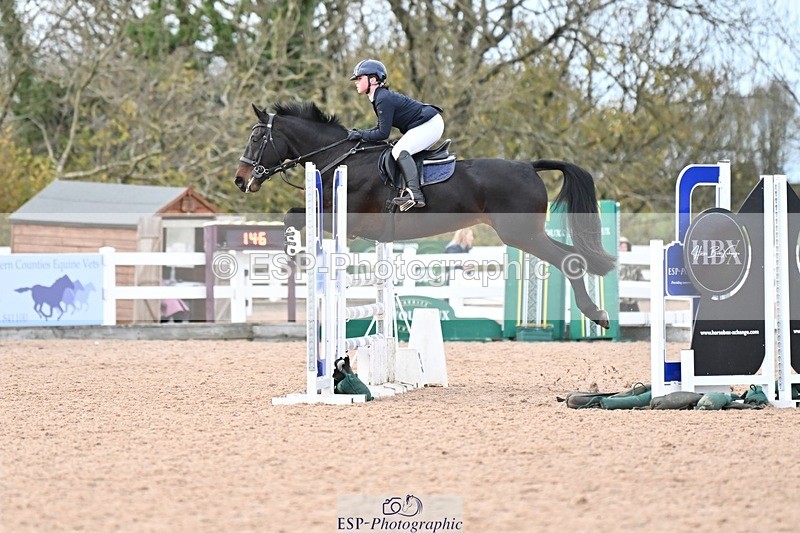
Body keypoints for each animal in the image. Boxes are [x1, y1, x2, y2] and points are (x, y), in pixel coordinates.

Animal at [233, 102, 615, 328]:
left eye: (256, 138)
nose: (241, 180)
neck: (340, 157)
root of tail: (529, 165)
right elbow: (293, 215)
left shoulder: (348, 220)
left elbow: (291, 216)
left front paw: (295, 255)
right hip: (529, 234)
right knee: (575, 257)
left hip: (521, 235)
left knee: (570, 261)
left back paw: (597, 314)